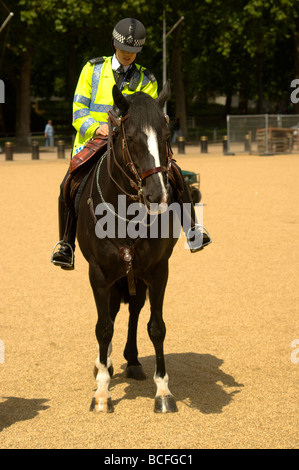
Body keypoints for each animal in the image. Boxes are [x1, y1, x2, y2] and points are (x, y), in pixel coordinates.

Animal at [77, 82, 180, 414]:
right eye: (131, 138)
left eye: (166, 135)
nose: (157, 195)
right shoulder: (98, 273)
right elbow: (103, 327)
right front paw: (101, 392)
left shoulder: (158, 272)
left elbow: (156, 327)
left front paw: (163, 391)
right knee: (110, 315)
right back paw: (105, 364)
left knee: (134, 310)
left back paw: (131, 361)